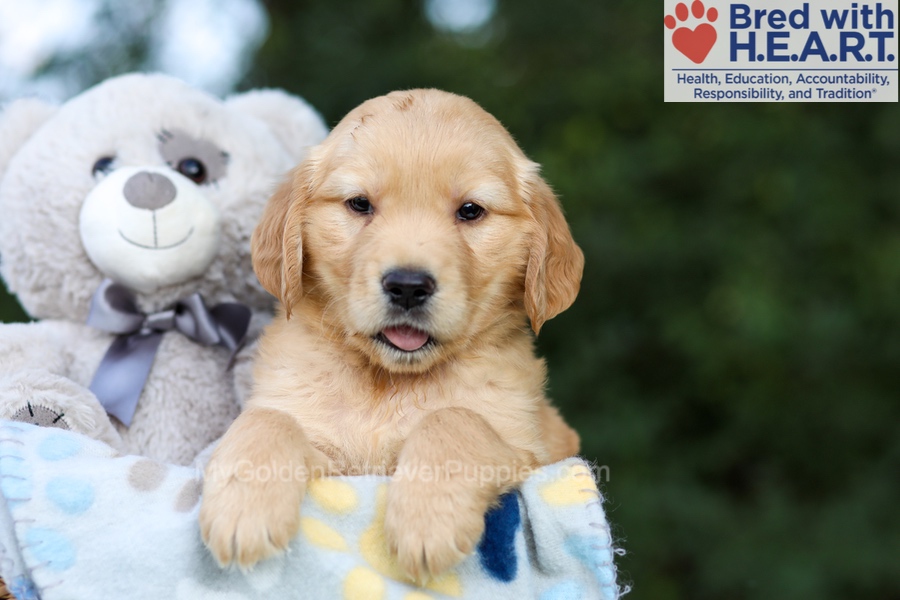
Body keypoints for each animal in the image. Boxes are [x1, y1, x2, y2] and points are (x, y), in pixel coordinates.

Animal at [199, 89, 584, 580]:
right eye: (359, 204)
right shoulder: (332, 462)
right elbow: (269, 419)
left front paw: (428, 521)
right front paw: (242, 510)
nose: (407, 286)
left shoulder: (533, 453)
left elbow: (455, 419)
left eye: (471, 211)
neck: (386, 383)